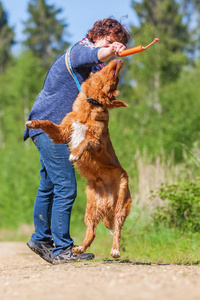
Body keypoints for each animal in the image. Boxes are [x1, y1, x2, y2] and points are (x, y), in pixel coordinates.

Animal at [25, 59, 132, 258]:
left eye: (116, 81)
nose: (119, 58)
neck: (90, 104)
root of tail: (107, 200)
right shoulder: (63, 131)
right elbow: (49, 123)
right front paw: (33, 123)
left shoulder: (96, 142)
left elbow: (84, 142)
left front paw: (75, 154)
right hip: (90, 209)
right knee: (92, 231)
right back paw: (80, 248)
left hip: (121, 204)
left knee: (118, 230)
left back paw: (115, 250)